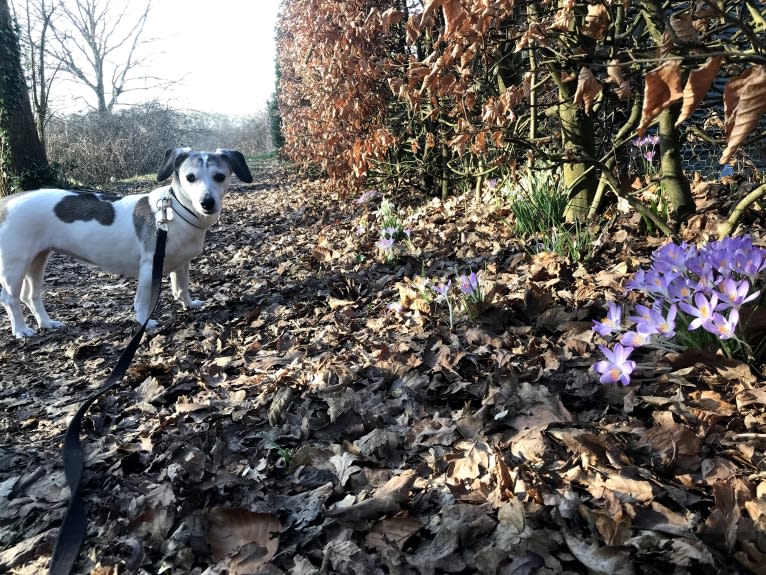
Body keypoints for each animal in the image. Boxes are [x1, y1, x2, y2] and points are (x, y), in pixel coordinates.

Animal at [0, 146, 254, 340]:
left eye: (220, 176)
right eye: (190, 178)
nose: (207, 202)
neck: (177, 212)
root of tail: (7, 201)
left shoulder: (182, 263)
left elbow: (181, 287)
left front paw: (189, 304)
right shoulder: (149, 267)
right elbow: (142, 301)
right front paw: (144, 322)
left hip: (38, 259)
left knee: (31, 295)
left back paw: (47, 323)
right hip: (15, 265)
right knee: (11, 298)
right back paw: (21, 330)